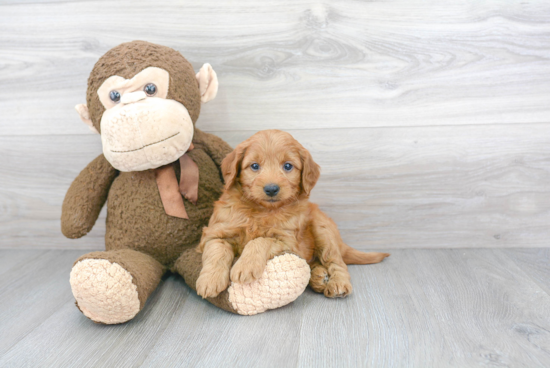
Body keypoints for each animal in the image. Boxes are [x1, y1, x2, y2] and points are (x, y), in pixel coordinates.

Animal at [196, 129, 390, 300]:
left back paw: (338, 284)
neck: (261, 211)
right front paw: (209, 280)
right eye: (254, 166)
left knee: (337, 262)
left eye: (288, 166)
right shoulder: (215, 232)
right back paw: (318, 277)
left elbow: (260, 240)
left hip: (323, 230)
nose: (271, 189)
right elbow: (217, 250)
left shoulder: (288, 242)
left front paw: (245, 266)